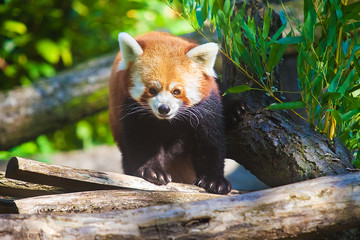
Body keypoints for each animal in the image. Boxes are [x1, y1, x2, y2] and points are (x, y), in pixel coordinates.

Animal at [108, 31, 231, 194]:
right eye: (152, 90)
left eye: (176, 91)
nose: (164, 108)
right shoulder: (132, 109)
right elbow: (142, 141)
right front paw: (153, 171)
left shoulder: (206, 107)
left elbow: (210, 142)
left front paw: (214, 180)